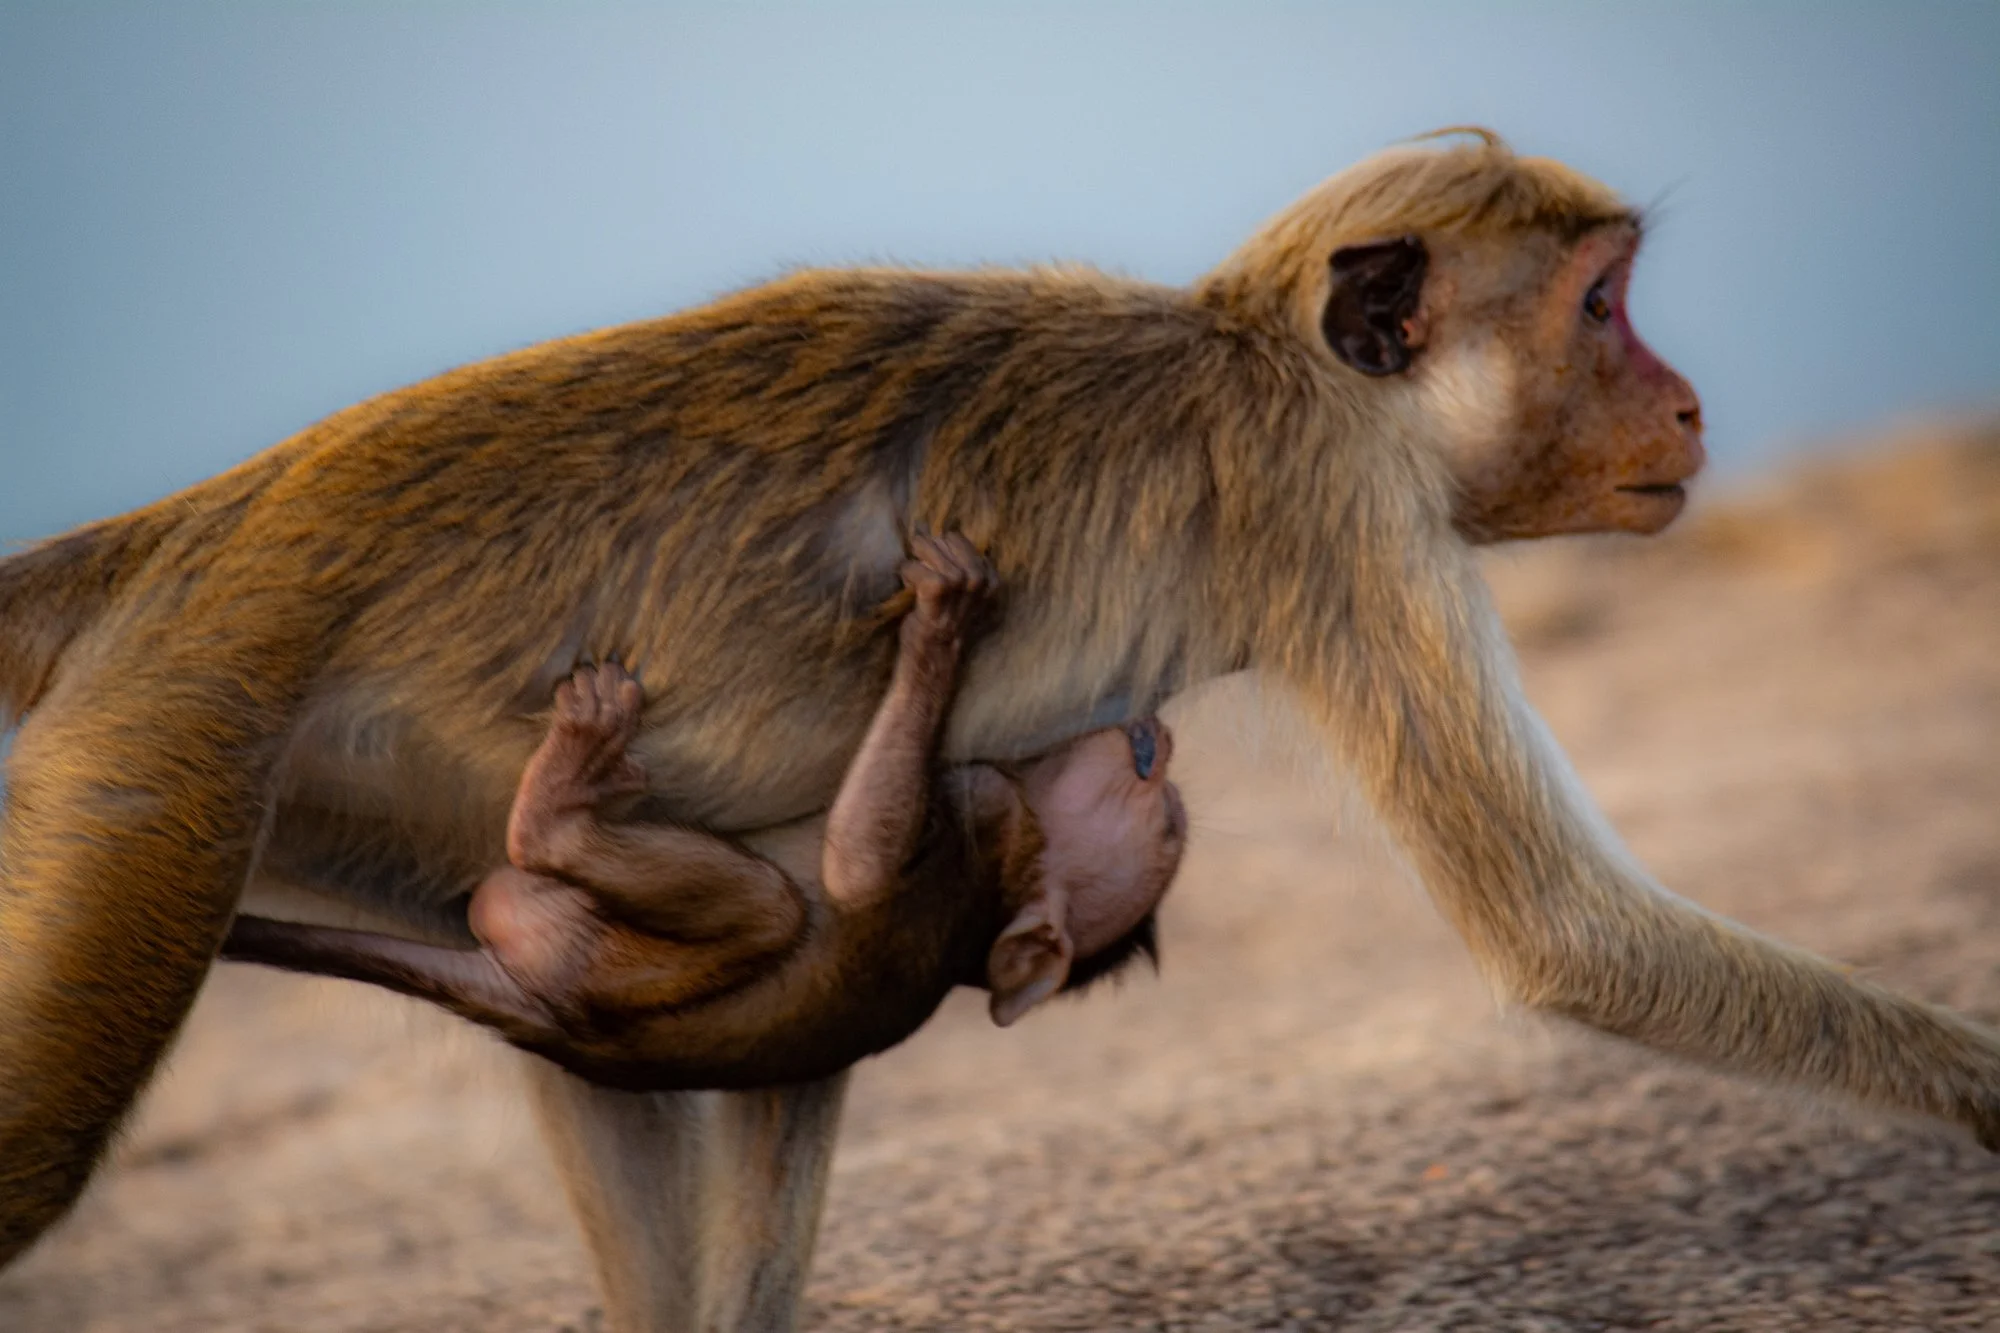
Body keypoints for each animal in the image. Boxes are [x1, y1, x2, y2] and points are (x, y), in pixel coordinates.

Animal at [220, 534, 1184, 1086]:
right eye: (1161, 788)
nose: (1161, 738)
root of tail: (558, 1026)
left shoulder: (985, 813)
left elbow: (856, 868)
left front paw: (947, 616)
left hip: (602, 960)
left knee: (767, 907)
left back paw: (562, 795)